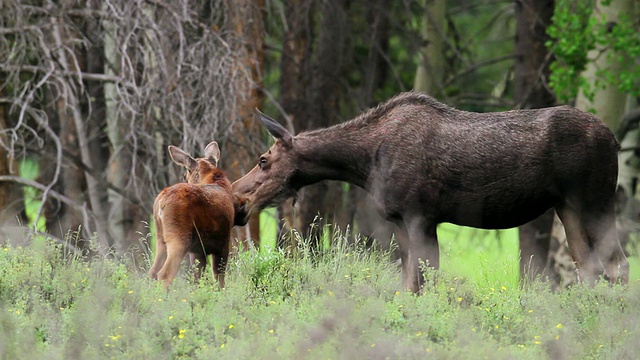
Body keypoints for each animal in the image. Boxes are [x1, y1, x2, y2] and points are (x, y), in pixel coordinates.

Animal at [149, 141, 234, 290]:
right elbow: (219, 278)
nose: (184, 177)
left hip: (160, 237)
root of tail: (161, 202)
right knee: (165, 273)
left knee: (152, 271)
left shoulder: (197, 250)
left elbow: (197, 278)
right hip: (179, 236)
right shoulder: (223, 242)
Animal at [234, 90, 632, 292]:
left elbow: (423, 281)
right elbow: (408, 283)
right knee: (589, 268)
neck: (364, 165)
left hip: (596, 202)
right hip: (568, 207)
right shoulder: (399, 220)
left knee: (619, 265)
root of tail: (614, 140)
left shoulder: (420, 215)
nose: (238, 199)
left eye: (264, 159)